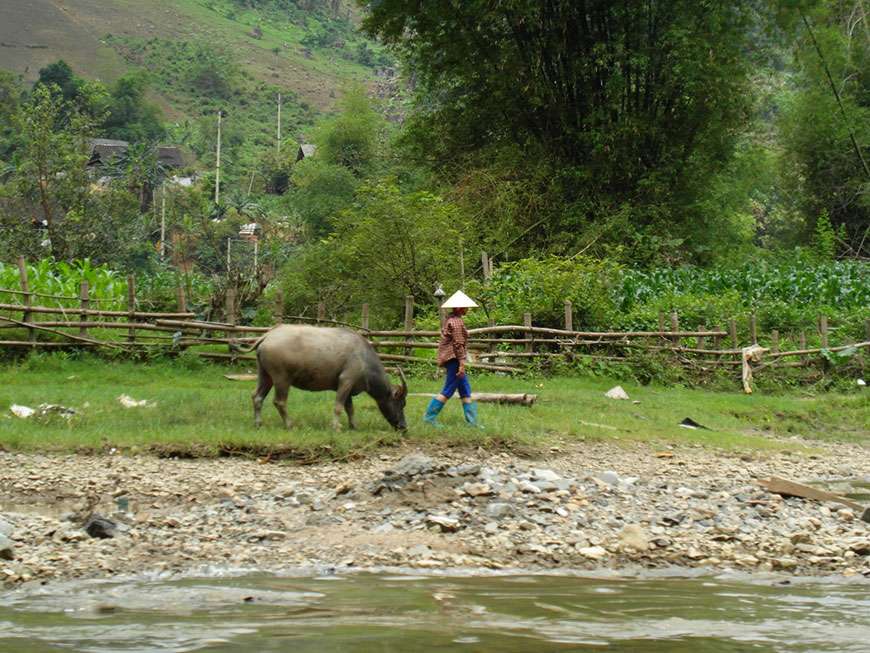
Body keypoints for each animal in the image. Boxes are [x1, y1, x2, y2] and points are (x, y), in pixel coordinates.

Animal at [247, 324, 408, 428]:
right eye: (402, 403)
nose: (403, 426)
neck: (364, 358)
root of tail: (267, 336)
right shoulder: (346, 381)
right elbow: (338, 406)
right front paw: (336, 426)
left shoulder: (348, 388)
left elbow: (350, 408)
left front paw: (353, 426)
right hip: (282, 379)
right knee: (279, 401)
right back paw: (289, 424)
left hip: (265, 375)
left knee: (257, 396)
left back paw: (258, 423)